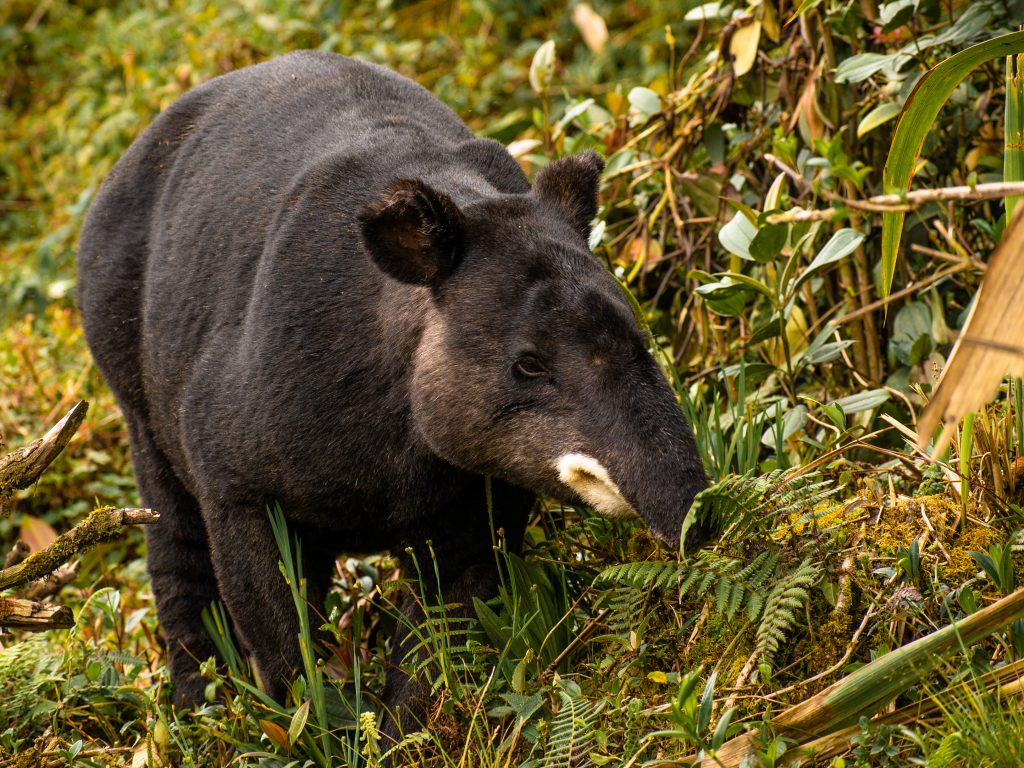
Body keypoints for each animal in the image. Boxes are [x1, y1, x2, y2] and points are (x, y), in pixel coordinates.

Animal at [76, 50, 709, 738]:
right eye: (529, 364)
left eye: (639, 336)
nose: (697, 522)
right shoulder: (232, 478)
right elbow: (279, 638)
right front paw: (313, 731)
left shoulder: (485, 490)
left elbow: (438, 634)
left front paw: (400, 732)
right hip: (130, 385)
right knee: (174, 544)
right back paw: (196, 709)